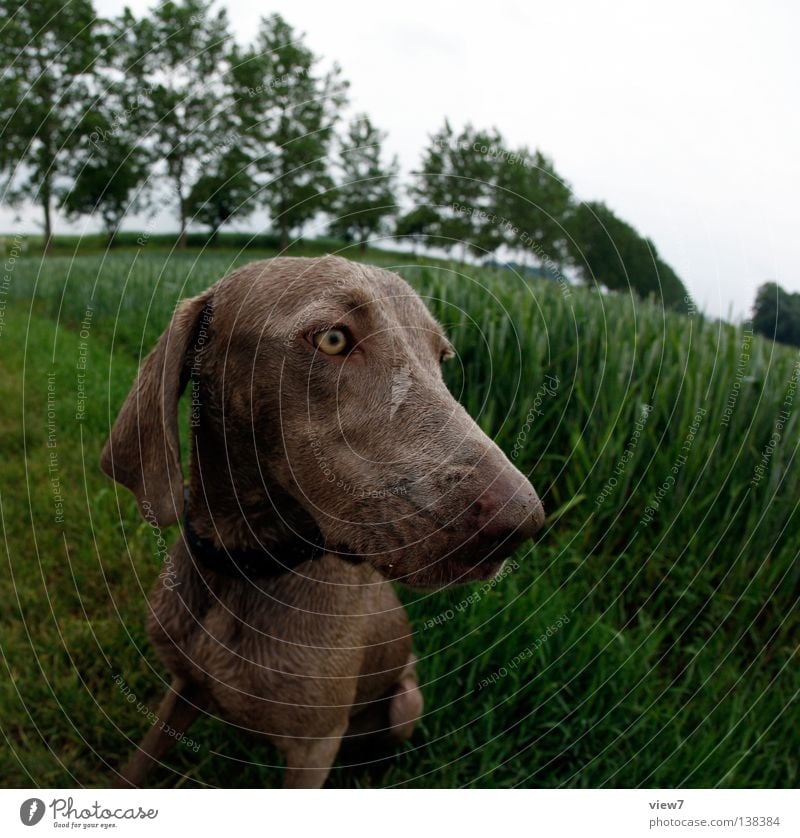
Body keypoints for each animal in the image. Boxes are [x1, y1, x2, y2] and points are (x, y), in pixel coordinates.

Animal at [103, 254, 544, 788]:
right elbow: (139, 762)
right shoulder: (184, 685)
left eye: (441, 359)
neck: (245, 569)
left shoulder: (316, 747)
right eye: (332, 339)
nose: (521, 523)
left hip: (407, 701)